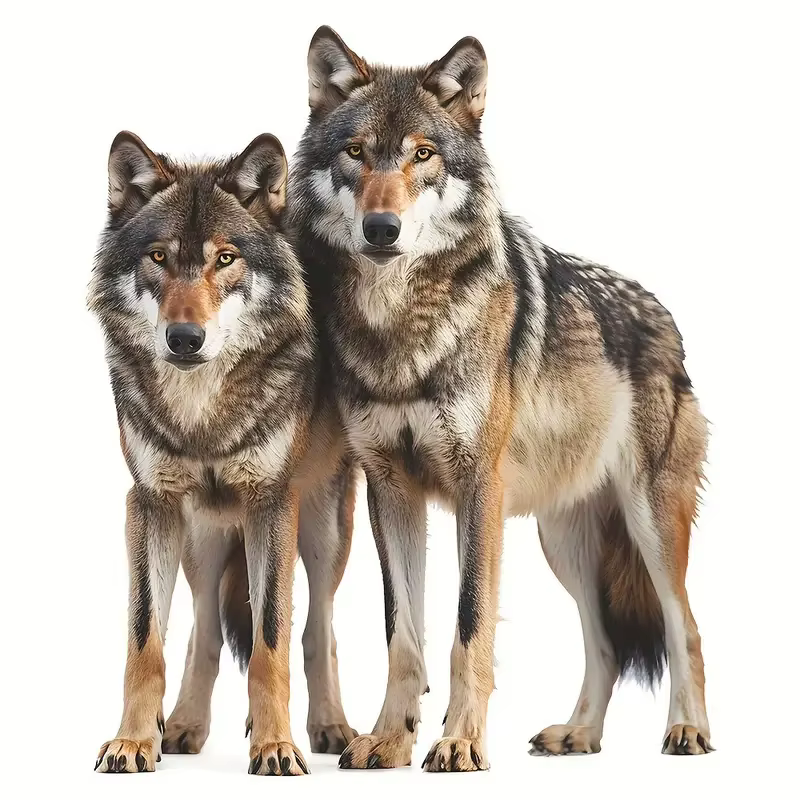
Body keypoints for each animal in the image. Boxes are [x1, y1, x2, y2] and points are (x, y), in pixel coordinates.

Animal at [89, 131, 357, 774]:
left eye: (226, 259)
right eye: (159, 257)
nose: (185, 339)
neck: (202, 416)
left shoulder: (270, 505)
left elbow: (270, 644)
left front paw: (276, 745)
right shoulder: (150, 504)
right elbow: (146, 643)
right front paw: (132, 741)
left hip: (321, 533)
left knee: (316, 630)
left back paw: (330, 727)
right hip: (202, 537)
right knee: (204, 628)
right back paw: (183, 726)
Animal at [288, 26, 712, 770]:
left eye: (422, 155)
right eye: (356, 153)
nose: (381, 229)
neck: (400, 329)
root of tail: (665, 318)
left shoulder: (477, 489)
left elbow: (468, 626)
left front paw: (459, 741)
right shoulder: (388, 489)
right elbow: (403, 633)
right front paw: (388, 740)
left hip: (649, 526)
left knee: (684, 626)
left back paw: (687, 732)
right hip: (564, 544)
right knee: (604, 643)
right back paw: (578, 735)